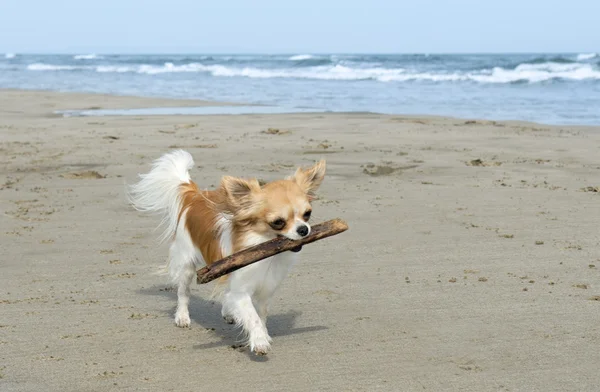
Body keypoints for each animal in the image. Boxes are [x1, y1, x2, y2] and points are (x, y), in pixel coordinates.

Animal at [126, 151, 324, 356]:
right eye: (278, 222)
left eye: (307, 214)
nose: (303, 229)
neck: (266, 251)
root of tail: (194, 196)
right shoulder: (241, 290)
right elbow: (252, 316)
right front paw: (259, 341)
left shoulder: (265, 290)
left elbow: (261, 314)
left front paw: (263, 333)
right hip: (187, 263)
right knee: (183, 292)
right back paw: (182, 316)